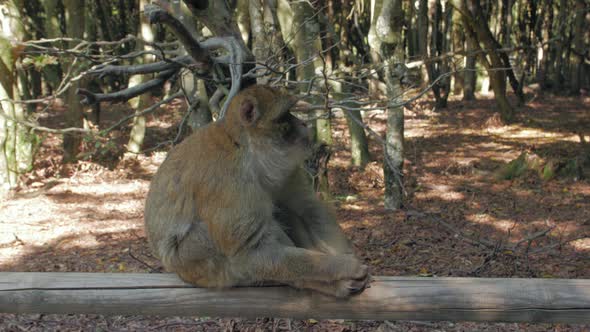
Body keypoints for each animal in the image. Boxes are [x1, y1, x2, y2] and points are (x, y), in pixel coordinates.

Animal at [145, 84, 370, 296]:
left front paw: (345, 255)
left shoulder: (284, 167)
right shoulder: (229, 182)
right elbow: (248, 253)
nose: (304, 124)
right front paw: (343, 266)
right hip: (196, 262)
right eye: (284, 117)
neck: (245, 148)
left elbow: (307, 206)